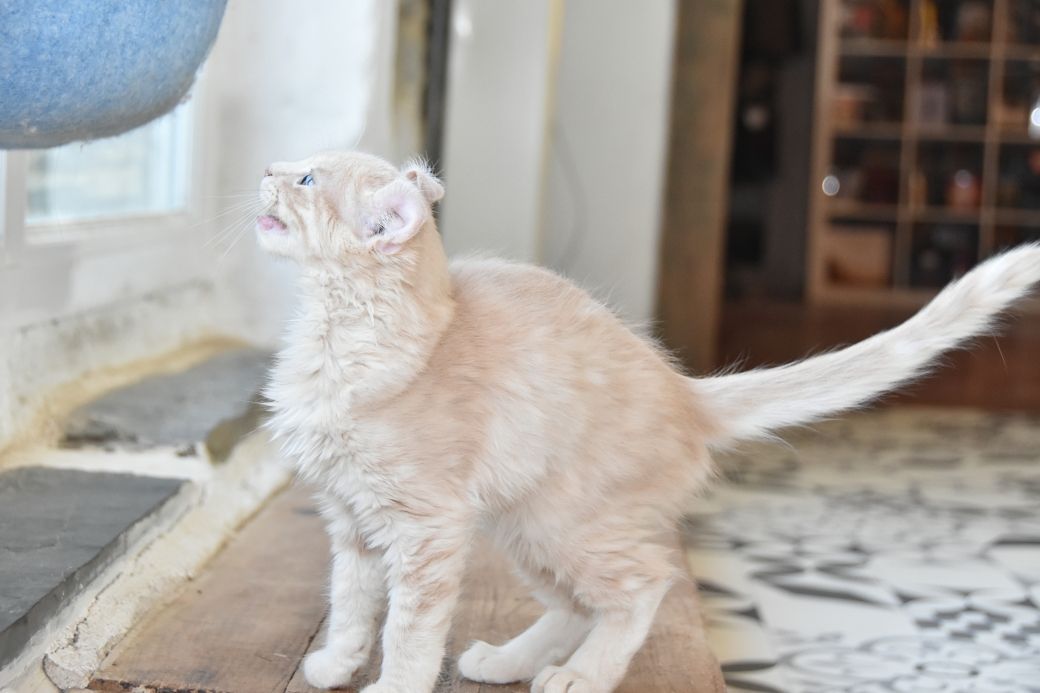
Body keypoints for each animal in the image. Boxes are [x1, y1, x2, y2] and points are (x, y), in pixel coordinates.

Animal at [255, 150, 1040, 693]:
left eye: (307, 179)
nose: (266, 168)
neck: (346, 343)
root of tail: (685, 391)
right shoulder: (352, 519)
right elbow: (351, 602)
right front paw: (335, 663)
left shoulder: (426, 530)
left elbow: (410, 627)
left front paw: (392, 683)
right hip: (524, 526)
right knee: (579, 603)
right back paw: (509, 659)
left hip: (563, 524)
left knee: (643, 586)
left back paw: (582, 674)